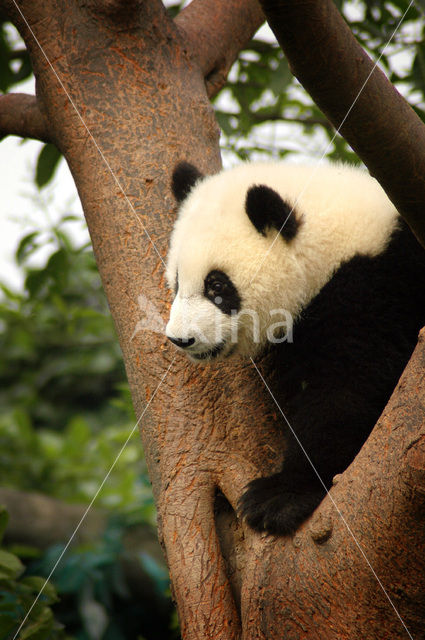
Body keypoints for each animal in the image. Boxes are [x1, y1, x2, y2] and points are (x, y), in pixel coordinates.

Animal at [164, 160, 424, 536]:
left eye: (217, 285)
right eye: (176, 283)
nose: (181, 339)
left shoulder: (376, 289)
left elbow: (345, 390)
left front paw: (280, 497)